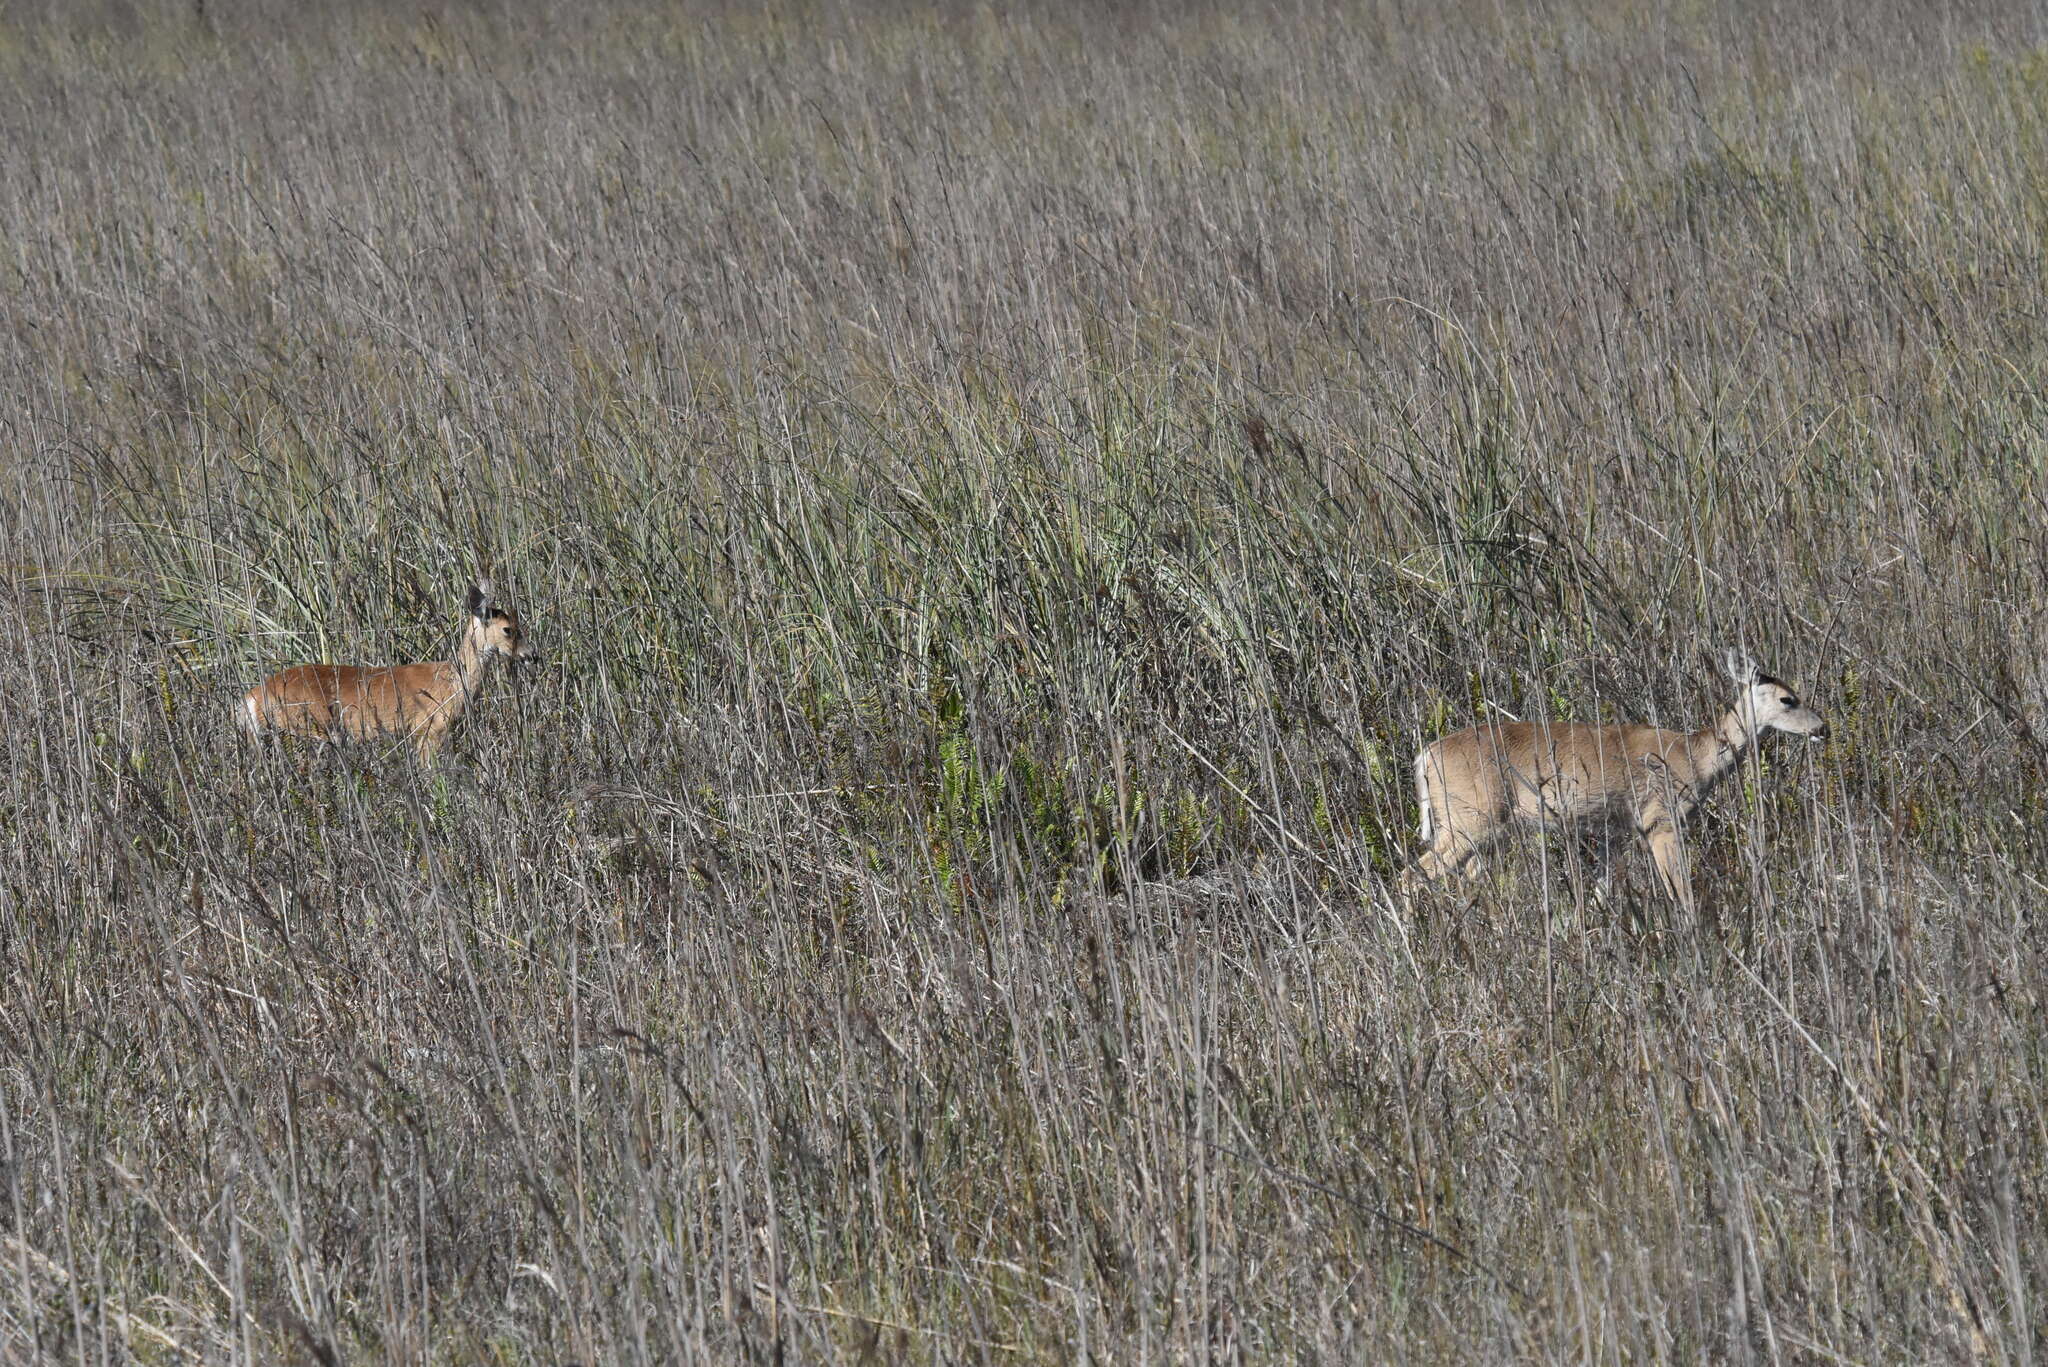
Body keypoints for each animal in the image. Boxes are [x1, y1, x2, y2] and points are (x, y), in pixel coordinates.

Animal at [239, 577, 536, 766]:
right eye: (508, 629)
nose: (532, 654)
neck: (450, 683)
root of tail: (253, 696)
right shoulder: (428, 729)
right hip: (308, 728)